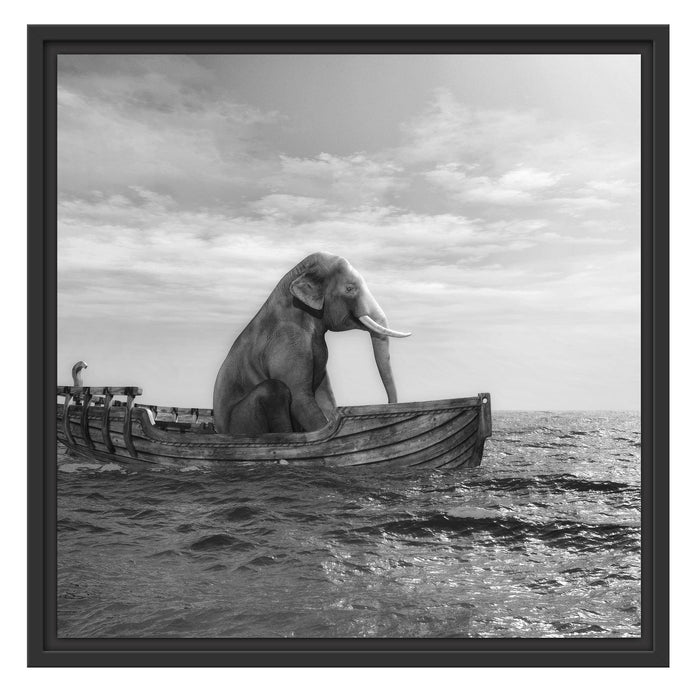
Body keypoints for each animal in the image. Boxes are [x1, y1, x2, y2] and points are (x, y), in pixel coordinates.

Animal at [213, 252, 410, 435]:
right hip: (241, 421)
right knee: (274, 388)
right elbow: (300, 399)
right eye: (349, 288)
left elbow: (325, 395)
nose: (390, 405)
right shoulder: (287, 343)